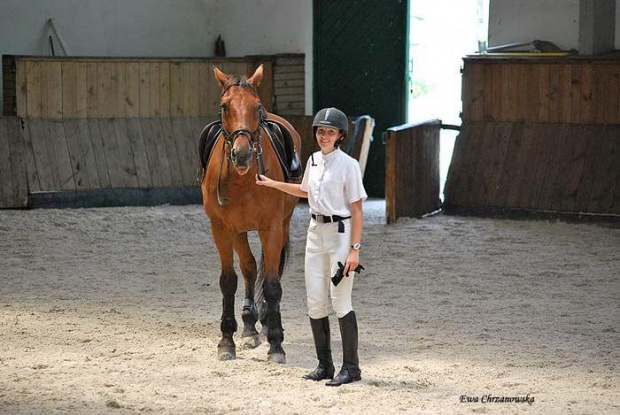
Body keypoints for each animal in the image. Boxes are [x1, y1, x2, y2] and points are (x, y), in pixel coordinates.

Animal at [202, 64, 302, 364]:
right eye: (224, 106)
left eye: (257, 107)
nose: (243, 154)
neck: (242, 180)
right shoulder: (222, 229)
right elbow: (229, 280)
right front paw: (226, 340)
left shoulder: (272, 228)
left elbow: (271, 285)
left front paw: (276, 344)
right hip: (239, 230)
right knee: (249, 267)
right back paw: (249, 327)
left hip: (281, 224)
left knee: (268, 270)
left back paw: (266, 321)